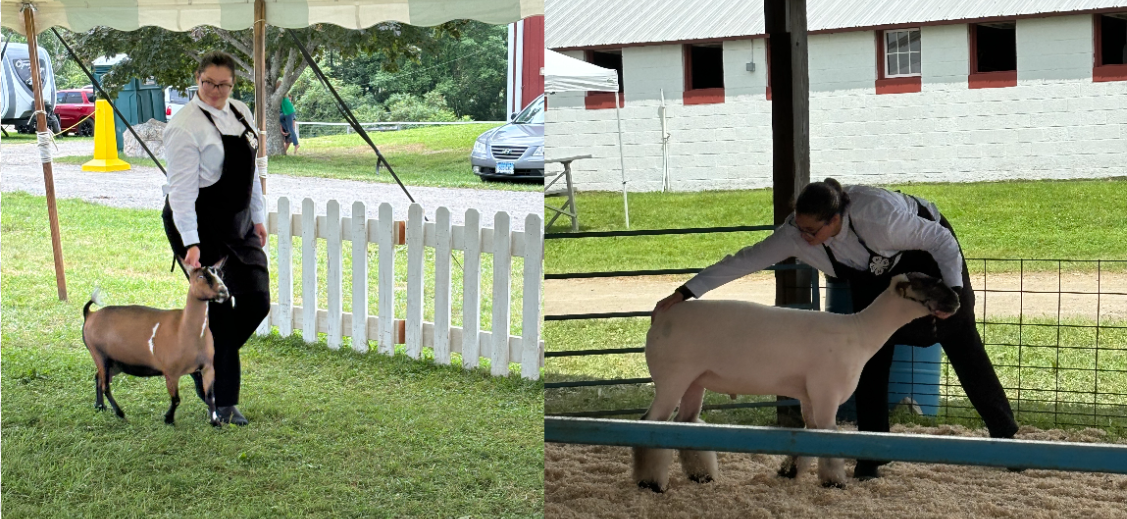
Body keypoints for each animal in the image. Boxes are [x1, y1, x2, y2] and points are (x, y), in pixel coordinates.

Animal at [82, 257, 228, 425]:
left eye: (221, 274)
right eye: (201, 276)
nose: (224, 291)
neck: (183, 327)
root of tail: (90, 315)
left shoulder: (207, 367)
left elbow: (210, 396)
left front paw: (215, 422)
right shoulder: (171, 372)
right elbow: (176, 399)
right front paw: (169, 419)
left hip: (115, 363)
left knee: (98, 378)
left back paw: (100, 406)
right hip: (99, 355)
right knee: (106, 385)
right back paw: (120, 413)